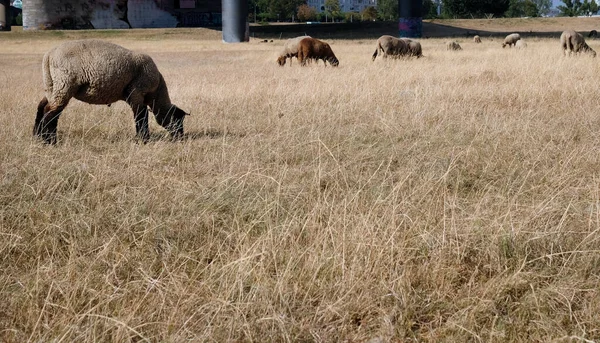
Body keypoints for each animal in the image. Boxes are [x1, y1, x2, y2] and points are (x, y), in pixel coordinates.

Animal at [34, 39, 189, 144]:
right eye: (177, 119)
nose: (180, 138)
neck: (156, 93)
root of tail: (49, 55)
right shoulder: (137, 92)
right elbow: (141, 116)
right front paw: (143, 139)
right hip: (64, 85)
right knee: (51, 112)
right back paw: (50, 141)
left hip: (52, 85)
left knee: (43, 107)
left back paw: (37, 136)